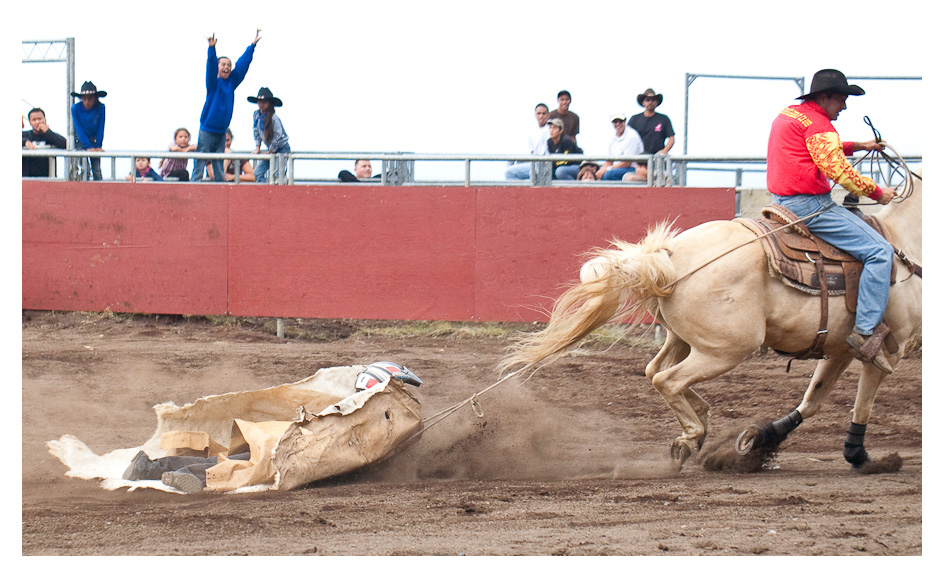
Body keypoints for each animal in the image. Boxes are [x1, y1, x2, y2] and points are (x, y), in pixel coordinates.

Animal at [506, 166, 920, 468]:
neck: (905, 242)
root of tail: (669, 256)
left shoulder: (840, 348)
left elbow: (814, 399)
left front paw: (762, 442)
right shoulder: (890, 347)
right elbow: (862, 402)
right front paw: (861, 457)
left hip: (685, 339)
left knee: (654, 371)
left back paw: (701, 422)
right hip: (728, 348)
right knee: (668, 380)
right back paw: (691, 436)